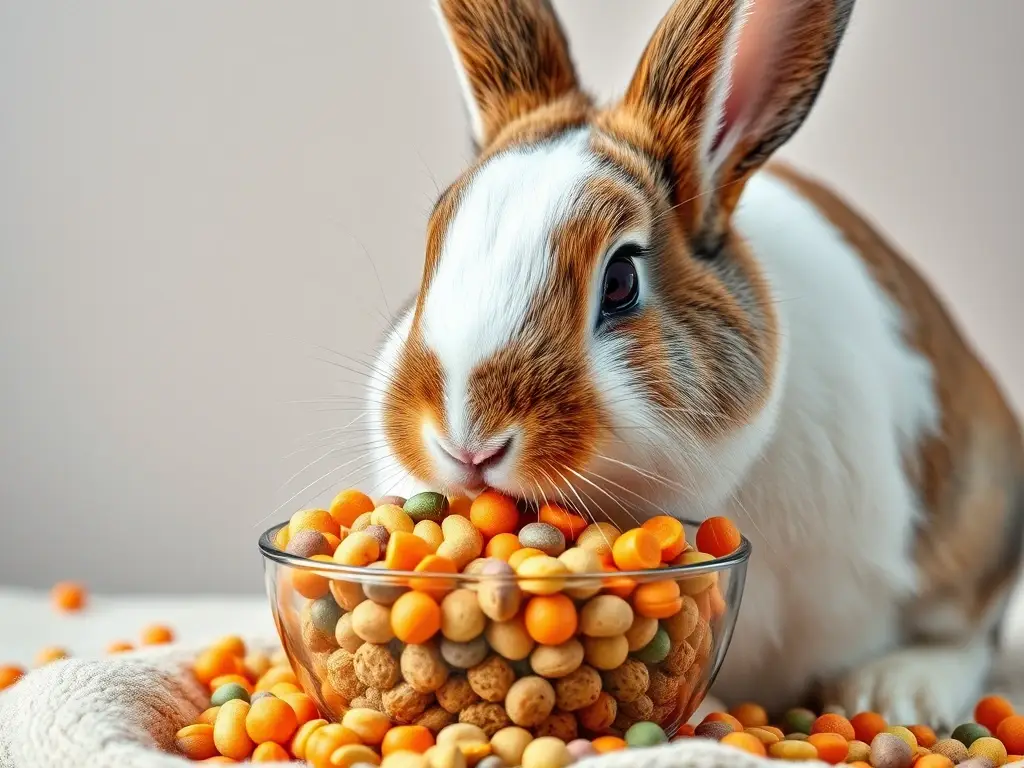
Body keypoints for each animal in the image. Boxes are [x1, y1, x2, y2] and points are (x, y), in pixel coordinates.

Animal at [365, 0, 1024, 727]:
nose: (469, 443)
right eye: (431, 253)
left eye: (621, 280)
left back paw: (896, 692)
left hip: (982, 513)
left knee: (971, 636)